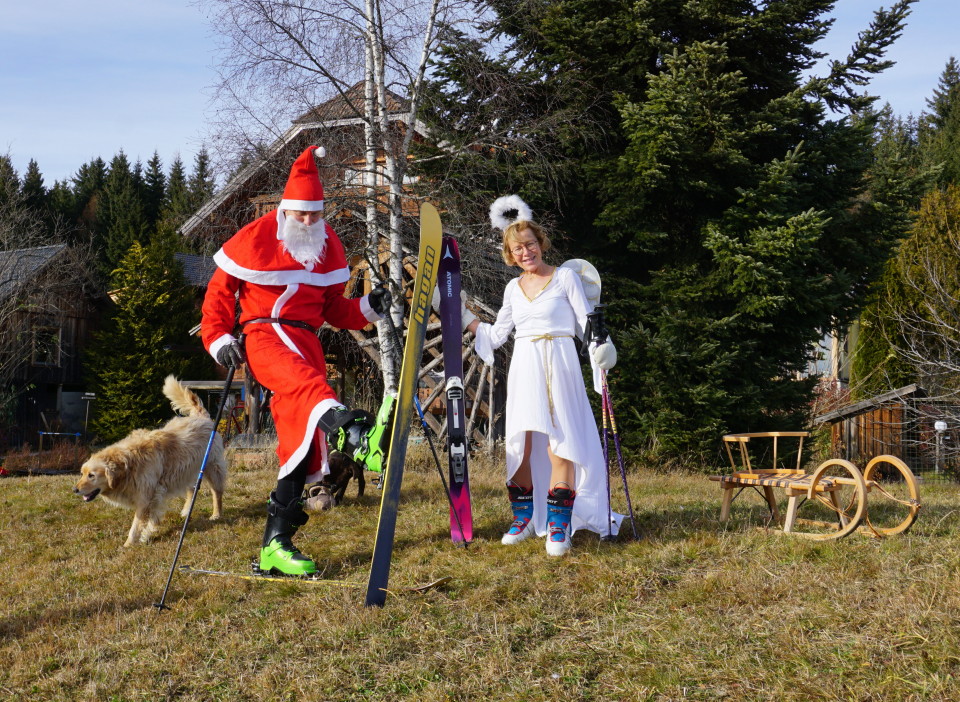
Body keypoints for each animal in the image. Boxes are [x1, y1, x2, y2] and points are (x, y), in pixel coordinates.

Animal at [74, 376, 227, 548]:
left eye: (91, 475)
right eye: (82, 473)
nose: (75, 490)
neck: (128, 465)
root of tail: (201, 416)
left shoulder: (146, 497)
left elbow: (137, 525)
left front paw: (130, 543)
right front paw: (147, 533)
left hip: (212, 468)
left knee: (217, 492)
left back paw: (216, 514)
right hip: (187, 470)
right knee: (191, 490)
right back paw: (186, 511)